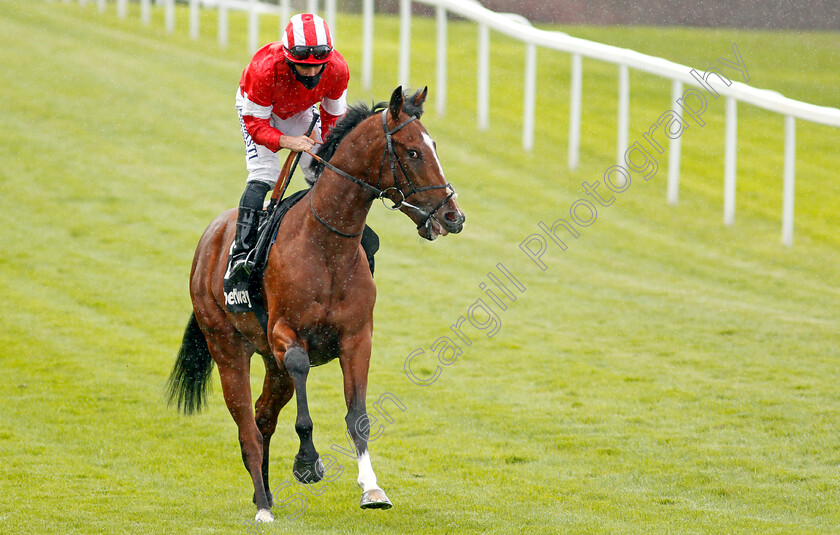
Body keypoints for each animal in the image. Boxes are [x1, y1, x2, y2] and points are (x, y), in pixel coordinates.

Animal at [167, 87, 462, 524]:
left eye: (434, 146)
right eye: (412, 152)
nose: (453, 216)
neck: (327, 248)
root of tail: (210, 238)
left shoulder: (357, 338)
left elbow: (358, 416)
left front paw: (372, 489)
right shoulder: (285, 335)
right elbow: (302, 389)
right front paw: (307, 462)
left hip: (271, 365)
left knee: (263, 417)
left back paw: (264, 494)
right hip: (227, 347)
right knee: (247, 426)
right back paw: (263, 507)